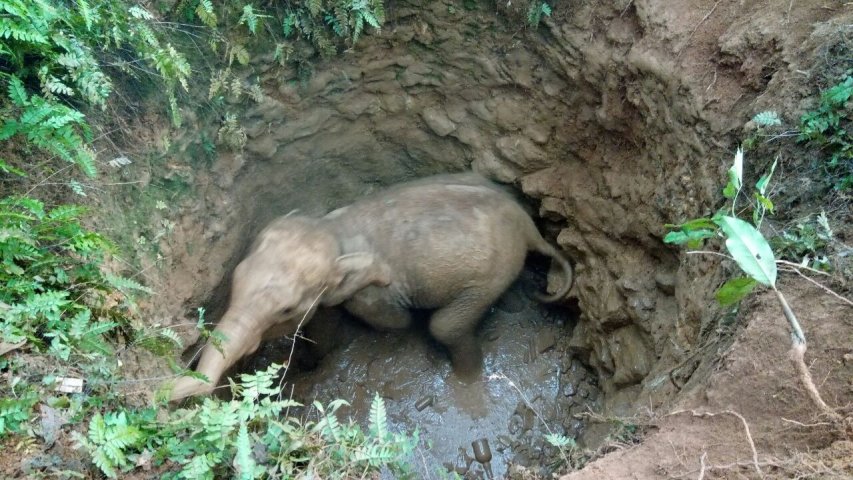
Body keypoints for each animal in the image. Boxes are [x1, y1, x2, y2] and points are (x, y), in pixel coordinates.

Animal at [169, 173, 574, 401]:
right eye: (235, 278)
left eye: (285, 309)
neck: (330, 227)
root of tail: (529, 225)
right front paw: (308, 361)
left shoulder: (371, 294)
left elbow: (392, 322)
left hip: (491, 274)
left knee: (445, 326)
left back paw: (465, 379)